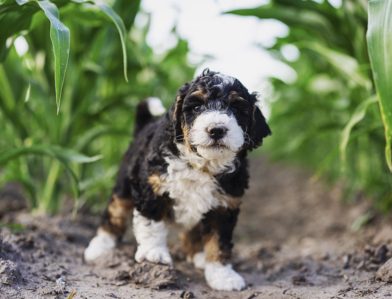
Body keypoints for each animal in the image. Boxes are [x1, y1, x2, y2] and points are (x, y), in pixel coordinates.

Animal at [84, 68, 272, 290]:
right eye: (197, 107)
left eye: (236, 108)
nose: (216, 129)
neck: (202, 165)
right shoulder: (152, 187)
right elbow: (151, 223)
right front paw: (154, 254)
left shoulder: (225, 205)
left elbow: (218, 241)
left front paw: (222, 275)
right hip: (124, 184)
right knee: (115, 211)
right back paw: (100, 247)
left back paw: (198, 256)